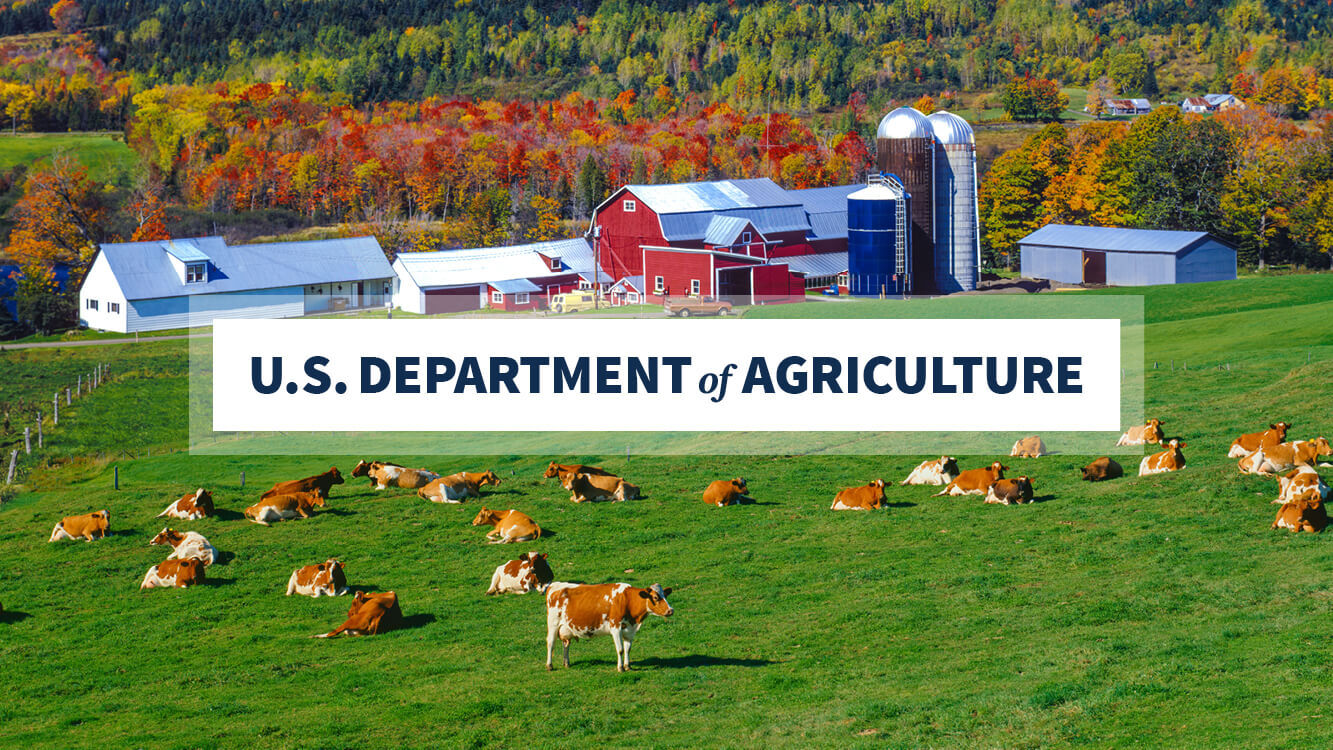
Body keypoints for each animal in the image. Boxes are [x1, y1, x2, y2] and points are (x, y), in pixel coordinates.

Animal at [543, 580, 671, 674]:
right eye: (655, 597)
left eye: (665, 595)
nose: (671, 610)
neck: (627, 600)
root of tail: (555, 584)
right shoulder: (615, 627)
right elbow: (620, 649)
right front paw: (620, 668)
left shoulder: (629, 630)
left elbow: (628, 649)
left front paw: (628, 666)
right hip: (553, 623)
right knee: (550, 643)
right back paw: (549, 665)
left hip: (566, 628)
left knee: (566, 644)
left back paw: (566, 663)